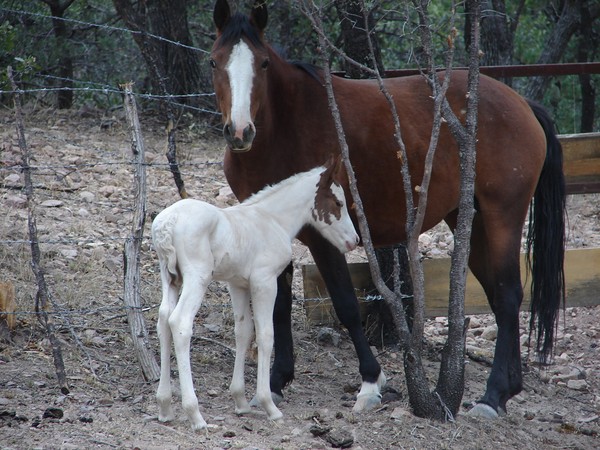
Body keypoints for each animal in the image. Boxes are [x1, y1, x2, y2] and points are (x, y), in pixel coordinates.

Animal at [152, 155, 358, 428]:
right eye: (338, 203)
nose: (354, 241)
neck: (272, 220)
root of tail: (168, 222)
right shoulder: (265, 281)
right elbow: (266, 335)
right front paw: (268, 404)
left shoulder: (238, 284)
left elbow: (243, 332)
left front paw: (240, 401)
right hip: (197, 277)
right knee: (180, 322)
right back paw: (194, 413)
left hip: (170, 278)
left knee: (164, 319)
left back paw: (164, 406)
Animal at [211, 0, 568, 418]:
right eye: (215, 61)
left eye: (264, 63)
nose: (240, 132)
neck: (285, 128)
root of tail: (522, 104)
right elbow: (279, 306)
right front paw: (277, 382)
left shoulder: (324, 235)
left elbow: (347, 305)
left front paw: (371, 382)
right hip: (472, 222)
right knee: (499, 296)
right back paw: (509, 388)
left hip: (503, 217)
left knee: (510, 295)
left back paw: (492, 397)